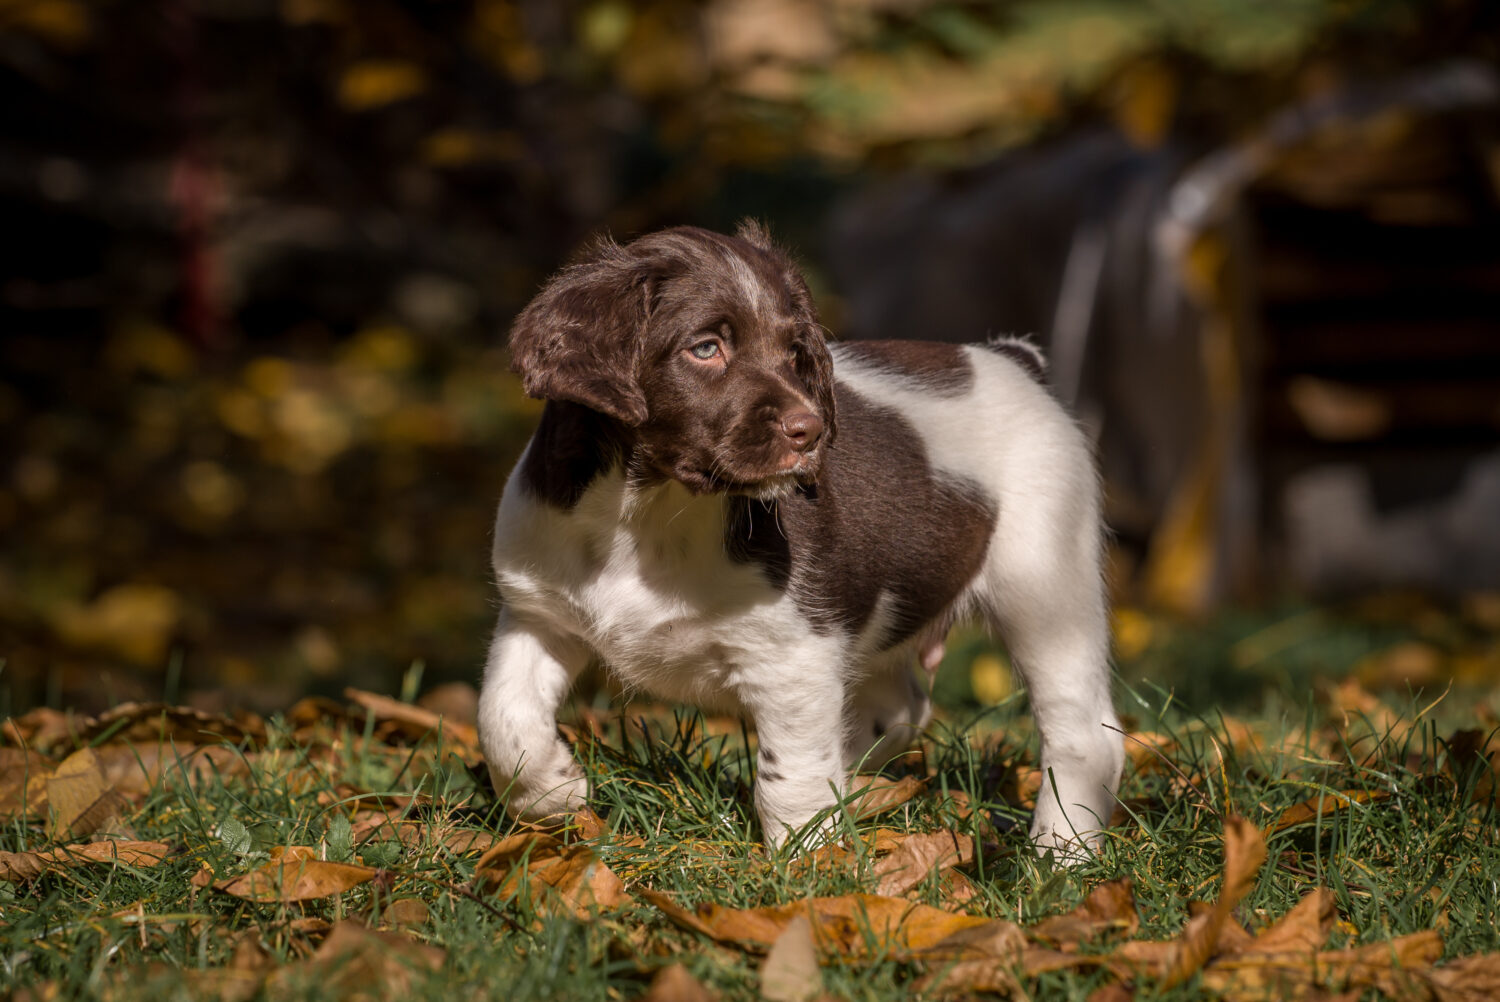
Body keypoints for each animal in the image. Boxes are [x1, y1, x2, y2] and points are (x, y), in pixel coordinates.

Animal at [474, 220, 1122, 852]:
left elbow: (791, 775)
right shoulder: (537, 612)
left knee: (1085, 736)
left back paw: (1062, 852)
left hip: (1045, 583)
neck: (648, 515)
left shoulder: (795, 654)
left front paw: (810, 865)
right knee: (900, 708)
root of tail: (1013, 358)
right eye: (705, 348)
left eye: (793, 352)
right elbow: (502, 717)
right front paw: (552, 795)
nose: (809, 431)